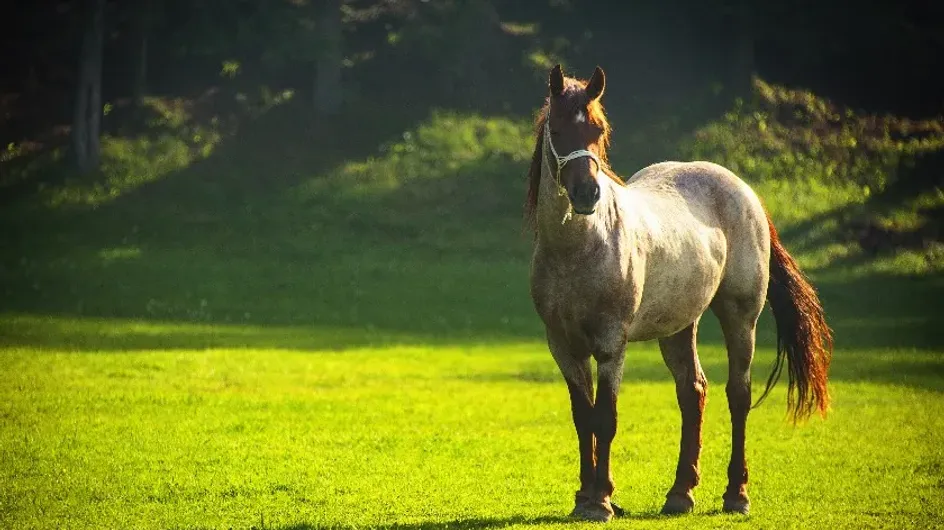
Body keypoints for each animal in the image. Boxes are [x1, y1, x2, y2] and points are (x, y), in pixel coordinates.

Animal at [528, 63, 828, 520]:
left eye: (598, 130)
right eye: (558, 129)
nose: (587, 194)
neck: (578, 250)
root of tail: (744, 191)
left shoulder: (611, 345)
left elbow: (605, 418)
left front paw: (601, 501)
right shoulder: (562, 346)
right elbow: (583, 417)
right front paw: (585, 496)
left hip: (741, 317)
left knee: (738, 394)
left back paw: (736, 495)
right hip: (678, 328)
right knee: (693, 392)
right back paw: (680, 493)